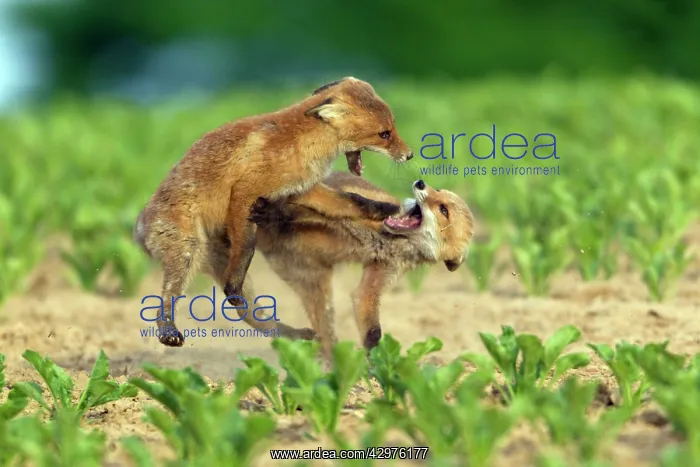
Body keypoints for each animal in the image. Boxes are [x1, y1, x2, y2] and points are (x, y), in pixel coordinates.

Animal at [133, 77, 413, 347]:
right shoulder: (245, 192)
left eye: (393, 128)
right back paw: (169, 331)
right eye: (384, 134)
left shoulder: (306, 189)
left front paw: (386, 209)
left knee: (250, 315)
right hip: (188, 252)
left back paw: (294, 334)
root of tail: (139, 225)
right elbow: (247, 248)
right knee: (168, 299)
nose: (410, 155)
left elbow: (352, 200)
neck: (302, 142)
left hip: (218, 259)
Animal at [232, 172, 475, 360]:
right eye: (438, 191)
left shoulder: (383, 270)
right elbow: (297, 211)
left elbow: (371, 324)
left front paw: (376, 365)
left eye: (444, 210)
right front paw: (271, 213)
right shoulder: (340, 214)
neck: (384, 238)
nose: (421, 183)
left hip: (313, 285)